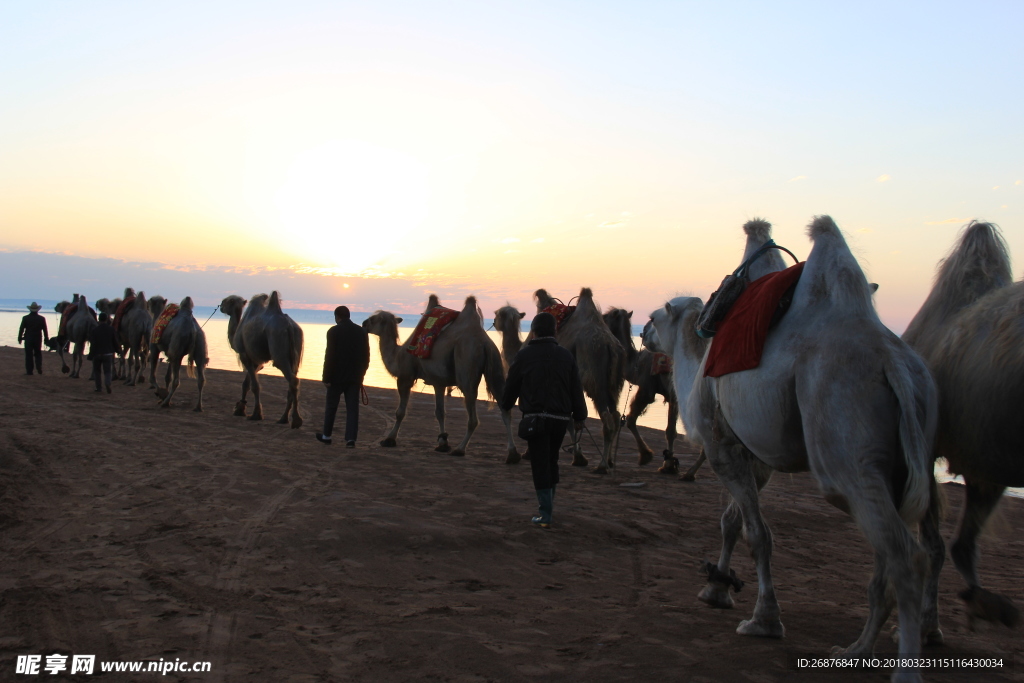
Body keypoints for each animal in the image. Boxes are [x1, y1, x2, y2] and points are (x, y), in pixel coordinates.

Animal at [220, 290, 303, 430]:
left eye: (229, 300)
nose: (220, 305)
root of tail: (289, 326)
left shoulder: (244, 355)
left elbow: (254, 386)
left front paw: (255, 414)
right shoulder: (257, 362)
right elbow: (246, 384)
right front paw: (240, 409)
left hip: (278, 347)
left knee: (293, 380)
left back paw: (296, 420)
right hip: (295, 354)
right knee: (292, 383)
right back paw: (283, 419)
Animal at [362, 294, 520, 462]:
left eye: (373, 319)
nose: (363, 323)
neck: (397, 356)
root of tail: (484, 343)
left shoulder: (405, 377)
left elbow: (400, 412)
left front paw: (389, 439)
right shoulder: (439, 382)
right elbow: (440, 412)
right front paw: (442, 443)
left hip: (466, 367)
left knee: (473, 417)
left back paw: (460, 449)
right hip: (496, 367)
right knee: (505, 409)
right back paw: (512, 454)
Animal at [532, 286, 626, 473]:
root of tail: (610, 347)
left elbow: (568, 419)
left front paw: (578, 457)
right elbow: (572, 420)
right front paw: (579, 457)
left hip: (595, 382)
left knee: (607, 420)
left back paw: (602, 466)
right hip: (614, 386)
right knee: (616, 416)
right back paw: (610, 461)